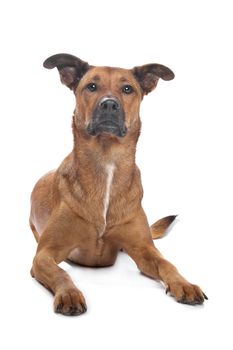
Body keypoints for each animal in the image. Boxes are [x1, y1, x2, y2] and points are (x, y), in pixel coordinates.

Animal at [29, 53, 208, 316]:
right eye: (91, 86)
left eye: (127, 89)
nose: (109, 105)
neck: (108, 161)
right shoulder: (44, 254)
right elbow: (61, 273)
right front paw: (69, 293)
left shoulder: (145, 250)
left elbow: (167, 264)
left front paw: (184, 284)